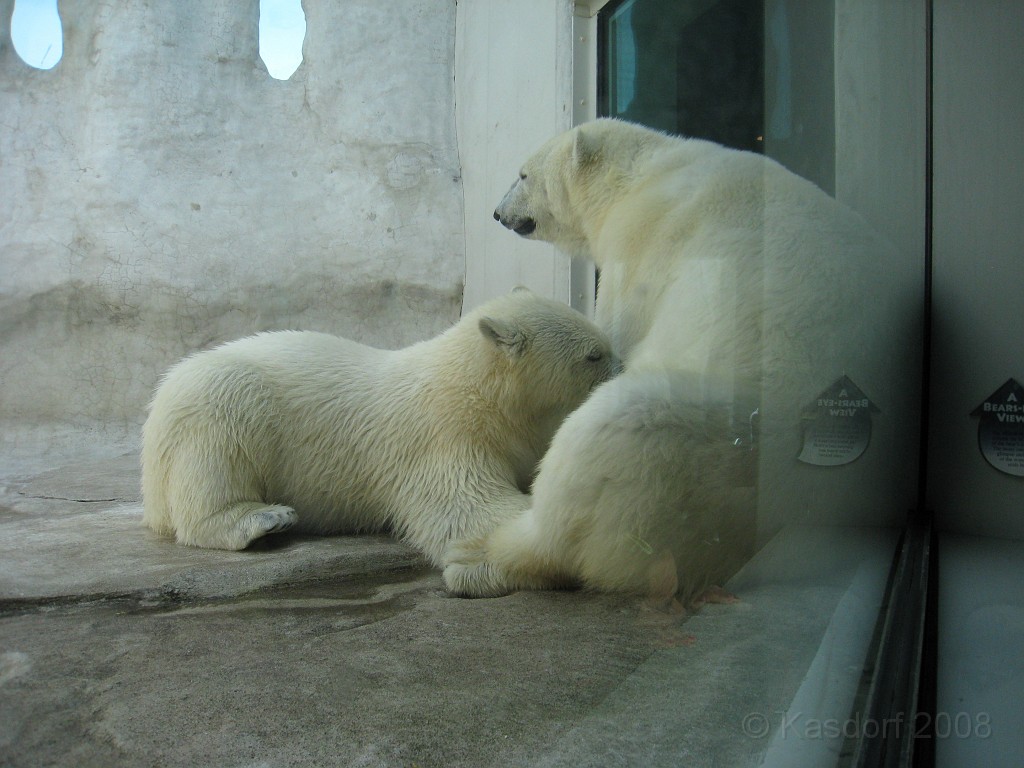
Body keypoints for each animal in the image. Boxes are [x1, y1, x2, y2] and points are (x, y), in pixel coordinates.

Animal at [143, 290, 614, 565]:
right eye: (594, 354)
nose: (620, 366)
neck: (479, 393)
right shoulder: (444, 435)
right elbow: (467, 507)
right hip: (214, 402)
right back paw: (264, 519)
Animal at [444, 118, 917, 602]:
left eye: (523, 175)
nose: (499, 213)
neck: (642, 175)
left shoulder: (640, 249)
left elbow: (619, 335)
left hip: (711, 444)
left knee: (603, 448)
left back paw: (477, 558)